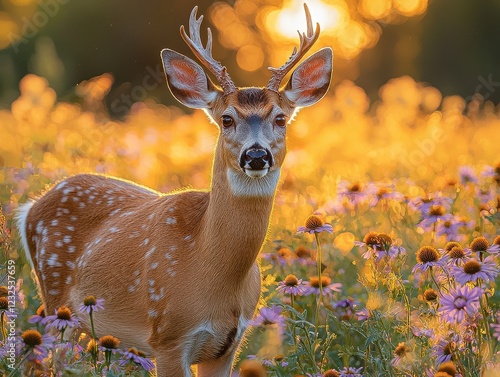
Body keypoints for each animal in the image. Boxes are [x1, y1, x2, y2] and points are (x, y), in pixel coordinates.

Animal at [16, 3, 332, 376]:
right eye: (226, 118)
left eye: (281, 118)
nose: (256, 155)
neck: (212, 272)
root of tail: (32, 206)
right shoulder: (167, 337)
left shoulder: (228, 344)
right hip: (55, 299)